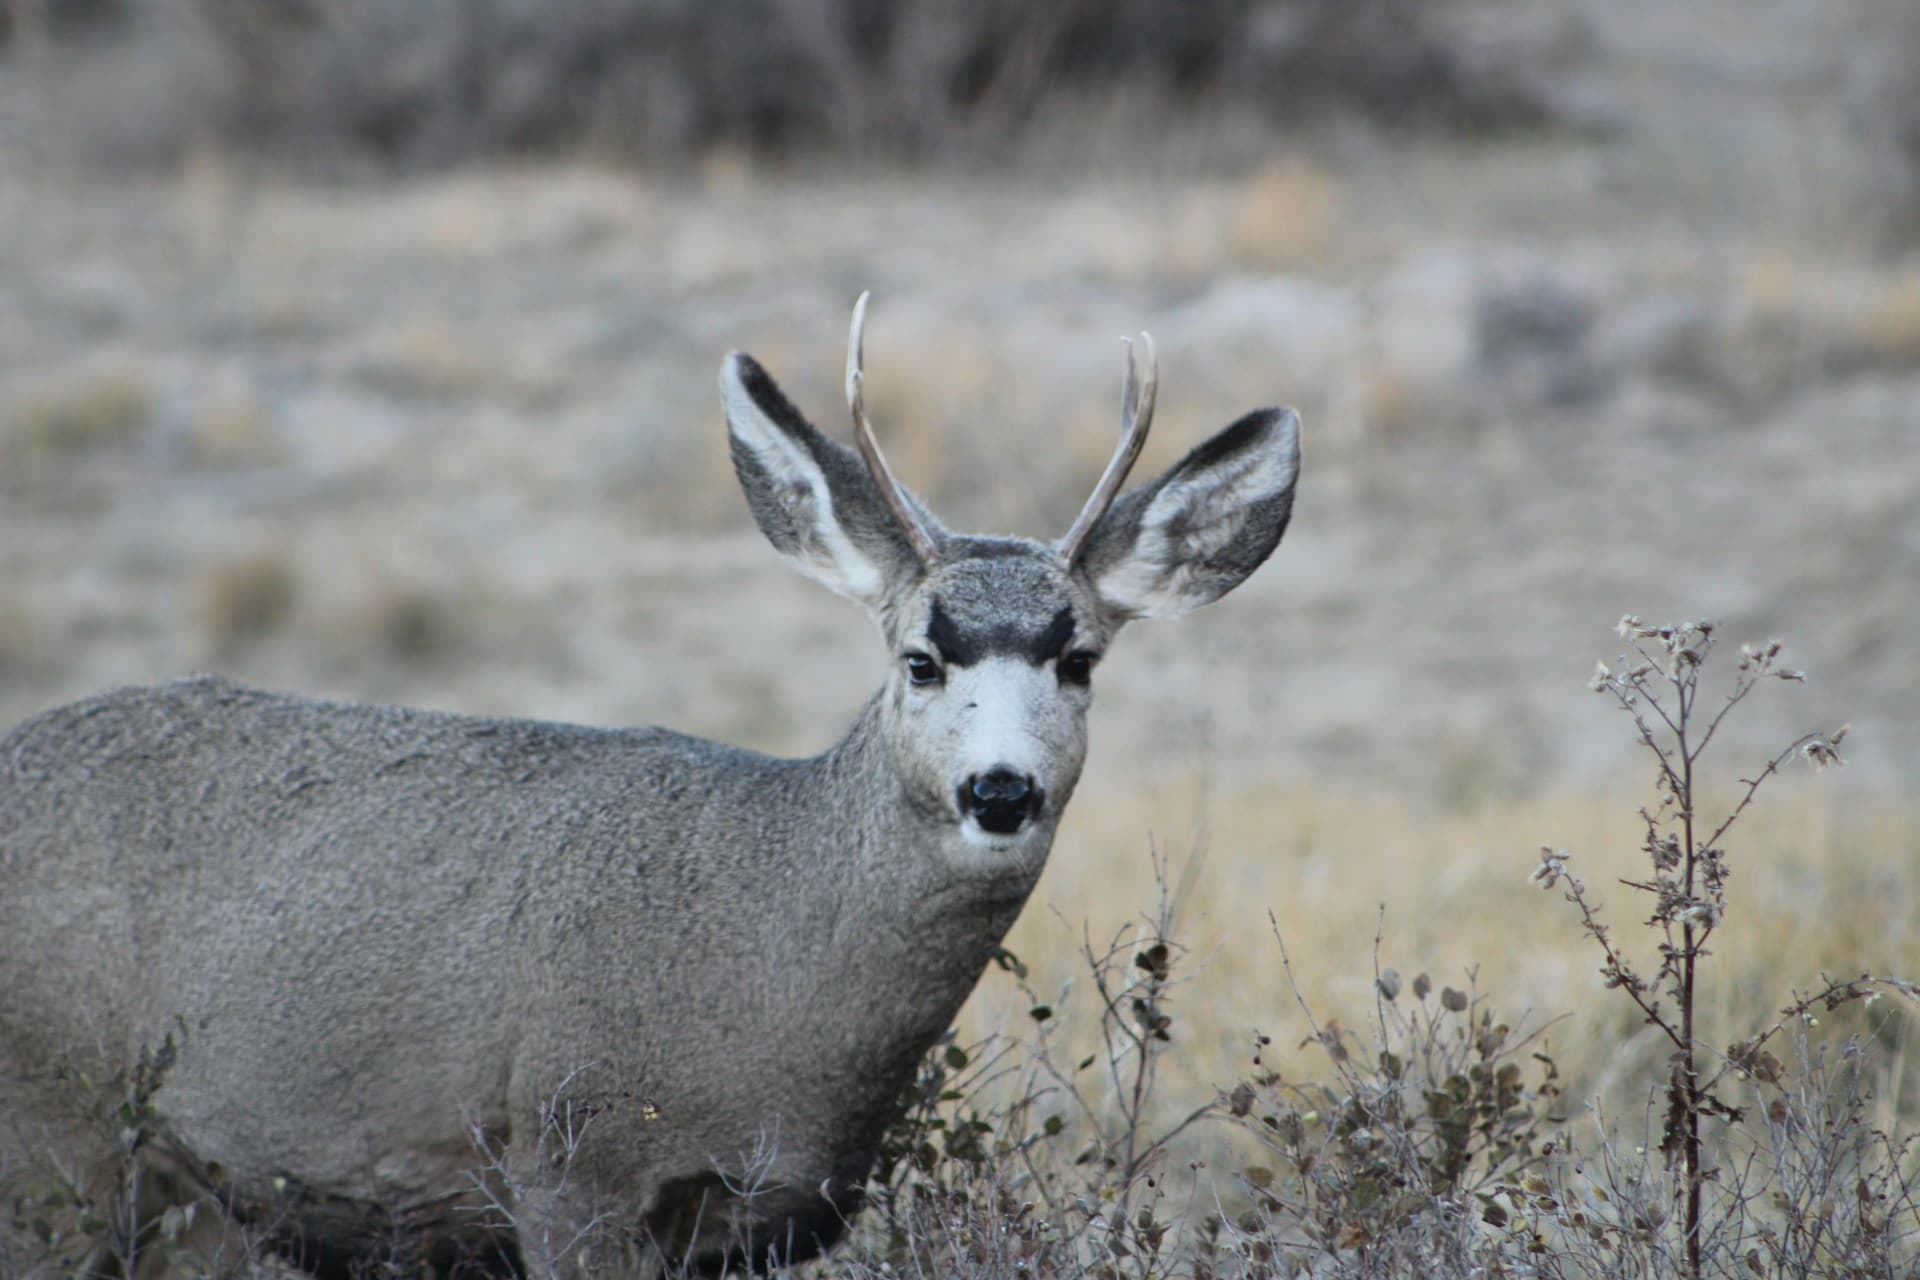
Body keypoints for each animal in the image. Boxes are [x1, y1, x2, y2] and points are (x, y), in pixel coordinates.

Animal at [0, 295, 1301, 1278]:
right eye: (919, 657)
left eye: (1078, 658)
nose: (999, 790)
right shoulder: (571, 1158)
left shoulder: (759, 1222)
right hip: (50, 1140)